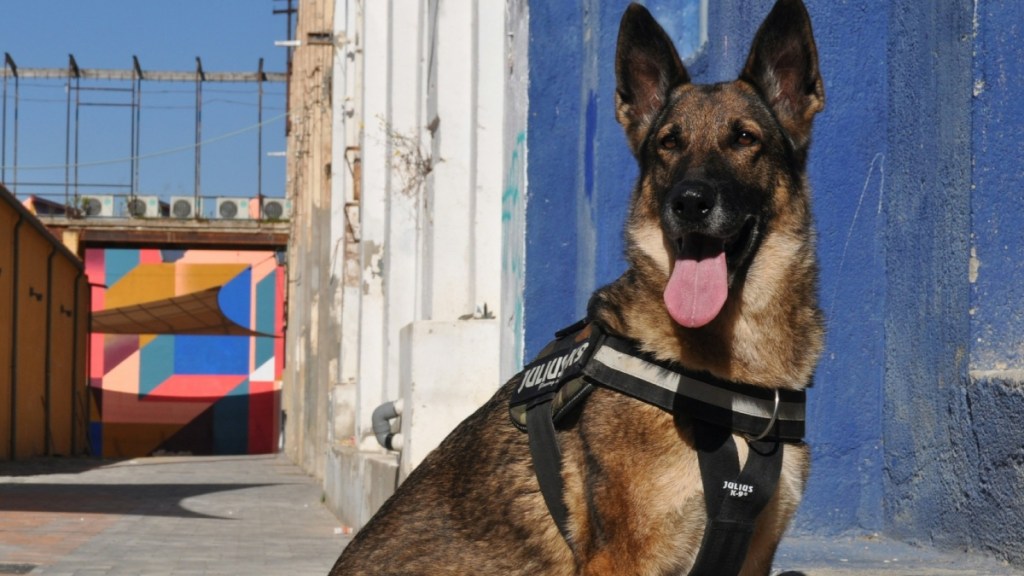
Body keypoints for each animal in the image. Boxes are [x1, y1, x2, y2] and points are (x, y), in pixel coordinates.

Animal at [331, 1, 827, 569]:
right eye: (669, 143)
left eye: (745, 138)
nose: (689, 201)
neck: (735, 384)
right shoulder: (623, 558)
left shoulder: (752, 557)